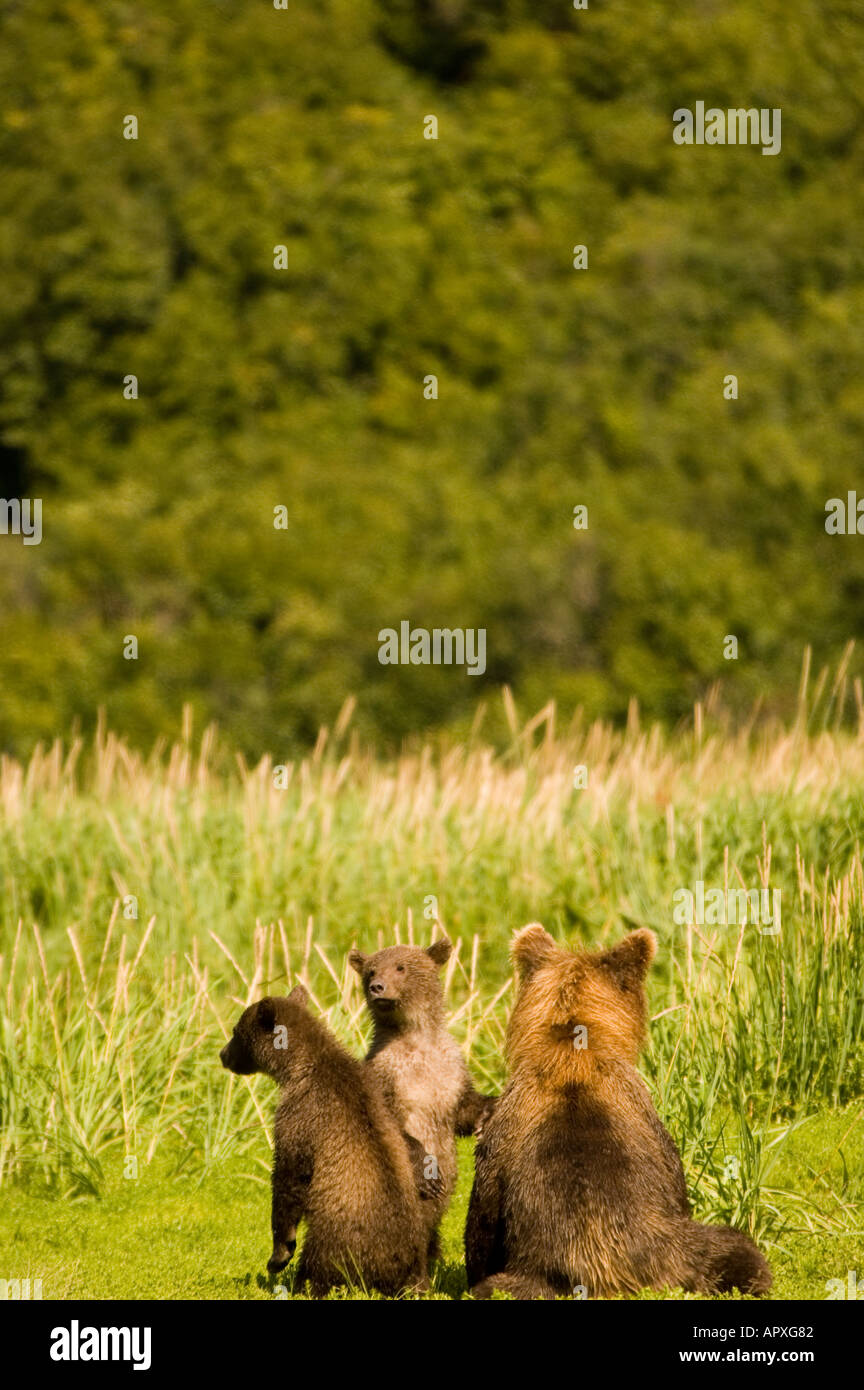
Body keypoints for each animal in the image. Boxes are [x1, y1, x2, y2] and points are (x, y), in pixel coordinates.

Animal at [220, 984, 427, 1297]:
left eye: (235, 1031)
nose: (223, 1054)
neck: (298, 1068)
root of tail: (398, 1268)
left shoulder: (300, 1116)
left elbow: (288, 1176)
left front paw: (278, 1255)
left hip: (333, 1237)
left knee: (318, 1266)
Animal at [348, 938, 496, 1260]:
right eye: (371, 970)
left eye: (400, 967)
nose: (377, 987)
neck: (417, 1042)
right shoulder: (386, 1075)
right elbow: (394, 1126)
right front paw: (428, 1175)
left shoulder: (451, 1070)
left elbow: (462, 1108)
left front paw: (486, 1112)